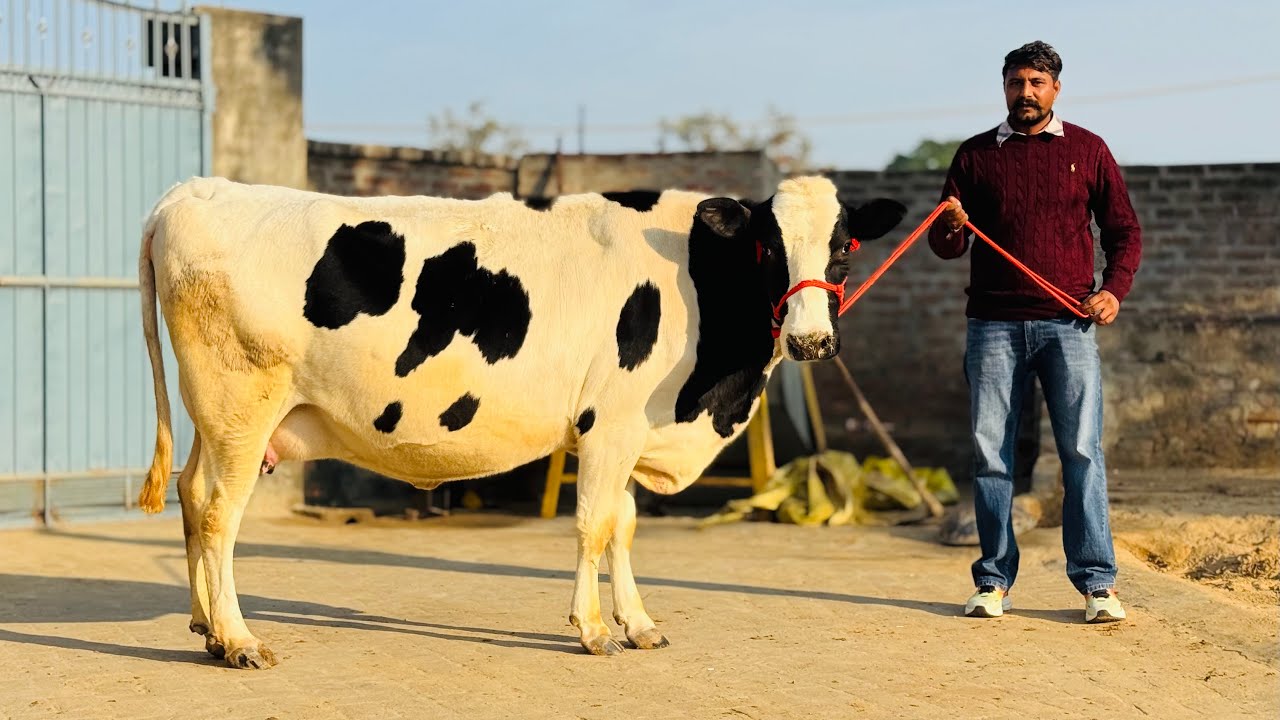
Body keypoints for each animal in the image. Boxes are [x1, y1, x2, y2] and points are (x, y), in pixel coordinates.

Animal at [137, 175, 906, 668]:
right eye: (768, 248)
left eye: (844, 247)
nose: (811, 341)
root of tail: (196, 190)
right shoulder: (611, 423)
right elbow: (593, 525)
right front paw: (593, 631)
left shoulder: (630, 430)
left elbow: (623, 525)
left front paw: (639, 623)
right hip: (242, 406)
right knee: (219, 513)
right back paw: (239, 640)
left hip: (217, 420)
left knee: (191, 494)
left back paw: (208, 629)